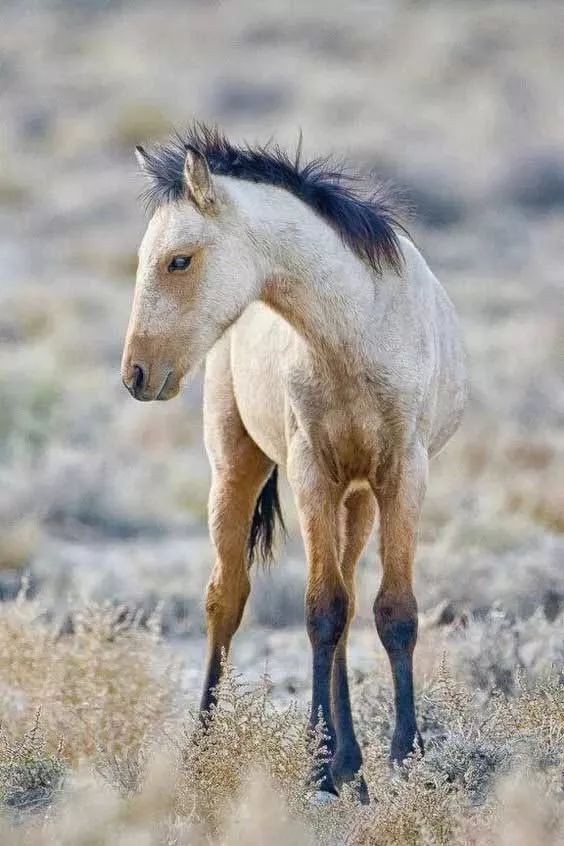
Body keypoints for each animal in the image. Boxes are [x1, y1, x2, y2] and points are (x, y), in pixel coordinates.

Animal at [120, 124, 468, 800]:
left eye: (179, 259)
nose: (137, 374)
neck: (358, 332)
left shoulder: (402, 476)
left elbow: (393, 612)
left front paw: (401, 756)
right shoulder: (310, 473)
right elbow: (320, 611)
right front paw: (323, 766)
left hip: (356, 499)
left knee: (350, 602)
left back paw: (345, 757)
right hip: (238, 468)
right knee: (226, 598)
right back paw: (208, 748)